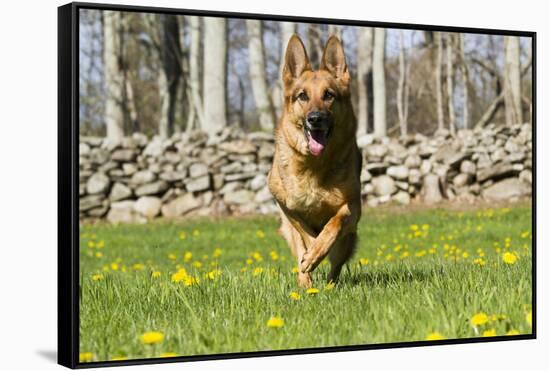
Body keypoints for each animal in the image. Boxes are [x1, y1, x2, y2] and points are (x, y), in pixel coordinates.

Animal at [270, 34, 364, 288]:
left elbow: (334, 224)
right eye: (303, 96)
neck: (313, 166)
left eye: (328, 95)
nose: (315, 118)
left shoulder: (352, 206)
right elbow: (303, 231)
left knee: (336, 266)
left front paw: (318, 250)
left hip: (348, 240)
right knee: (300, 254)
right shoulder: (285, 205)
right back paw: (306, 283)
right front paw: (311, 252)